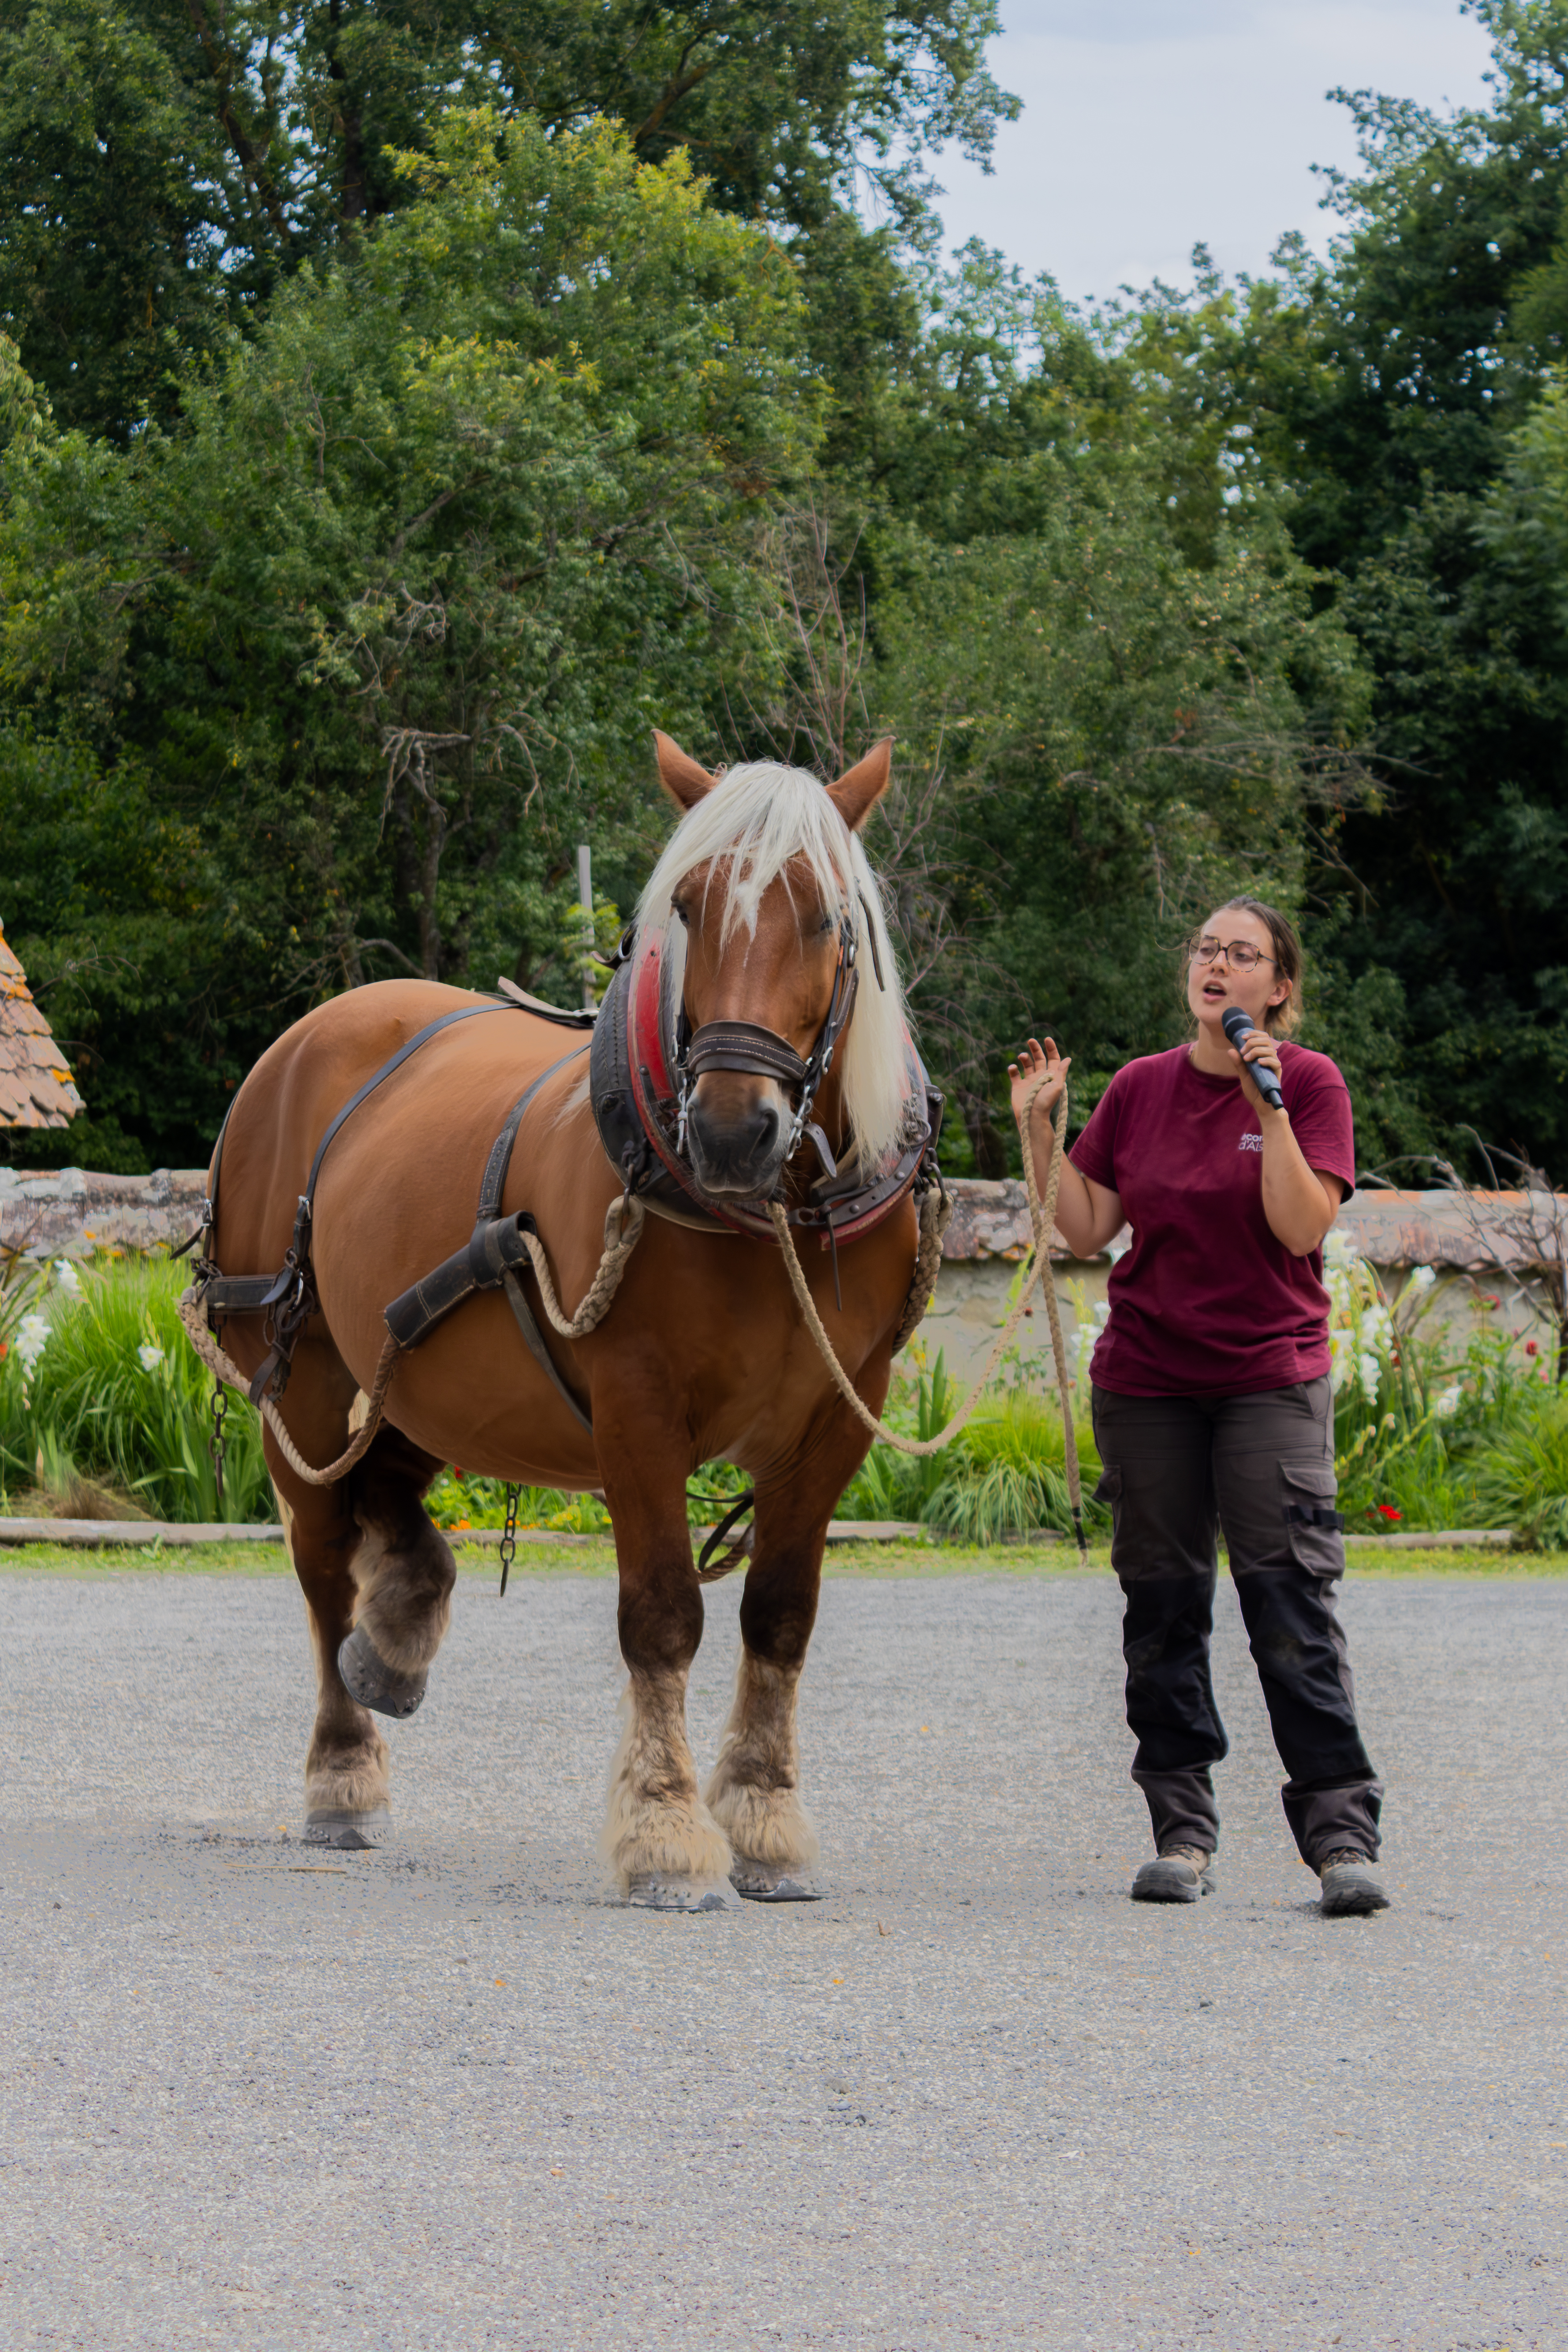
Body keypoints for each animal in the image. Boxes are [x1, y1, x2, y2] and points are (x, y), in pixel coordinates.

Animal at [190, 734, 939, 1909]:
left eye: (826, 917)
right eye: (689, 905)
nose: (731, 1130)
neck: (765, 1212)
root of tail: (306, 1041)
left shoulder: (839, 1411)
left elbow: (780, 1611)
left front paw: (765, 1819)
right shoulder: (636, 1402)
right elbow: (664, 1613)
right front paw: (667, 1831)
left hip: (413, 1362)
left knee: (389, 1497)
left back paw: (396, 1632)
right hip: (303, 1371)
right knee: (320, 1559)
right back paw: (343, 1773)